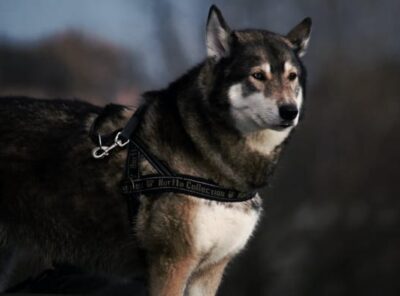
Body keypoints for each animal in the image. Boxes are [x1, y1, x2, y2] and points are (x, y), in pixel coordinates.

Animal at [0, 5, 312, 296]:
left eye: (292, 77)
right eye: (257, 75)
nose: (290, 112)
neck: (206, 155)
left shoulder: (208, 274)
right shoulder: (171, 266)